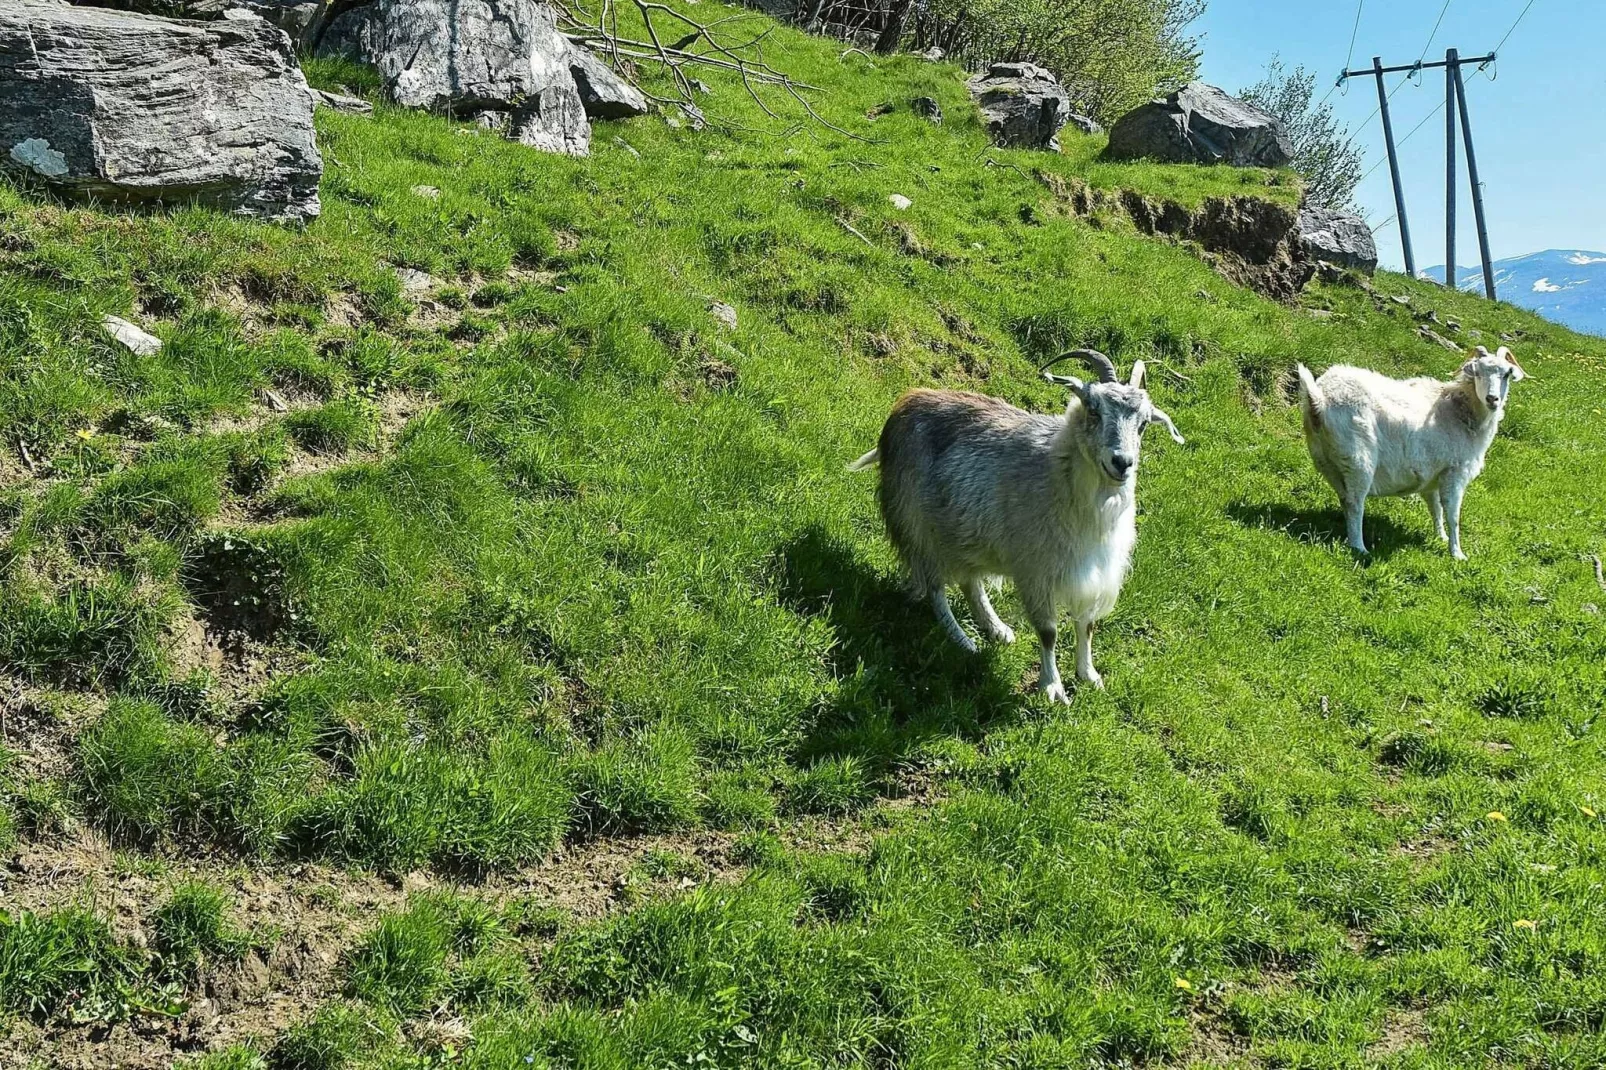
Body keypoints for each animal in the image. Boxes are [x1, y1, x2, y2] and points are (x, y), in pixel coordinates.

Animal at [854, 348, 1182, 700]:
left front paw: (1089, 675)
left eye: (1144, 424)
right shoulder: (1036, 570)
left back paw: (997, 629)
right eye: (1094, 410)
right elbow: (1049, 632)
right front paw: (1052, 687)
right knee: (935, 587)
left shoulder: (1093, 571)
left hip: (964, 529)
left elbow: (1087, 625)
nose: (1122, 463)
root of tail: (907, 403)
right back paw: (962, 640)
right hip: (918, 525)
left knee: (970, 582)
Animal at [1297, 345, 1522, 559]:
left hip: (1328, 461)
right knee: (1354, 503)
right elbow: (1452, 514)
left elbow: (1436, 508)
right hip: (1358, 458)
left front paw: (1440, 537)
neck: (1462, 411)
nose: (1492, 399)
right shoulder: (1455, 471)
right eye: (1477, 372)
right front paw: (1457, 553)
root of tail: (1319, 399)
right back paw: (1359, 547)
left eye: (1507, 373)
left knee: (1345, 499)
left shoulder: (1433, 475)